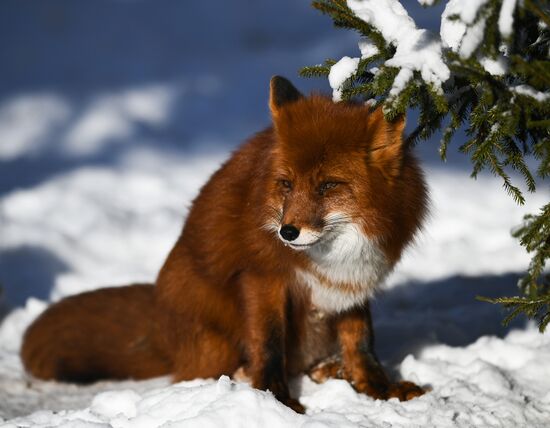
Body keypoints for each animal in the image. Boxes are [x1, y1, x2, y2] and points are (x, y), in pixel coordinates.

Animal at [21, 76, 430, 412]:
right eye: (286, 184)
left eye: (328, 185)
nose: (287, 233)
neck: (333, 254)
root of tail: (159, 318)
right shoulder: (262, 277)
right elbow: (268, 344)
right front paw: (277, 400)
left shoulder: (352, 285)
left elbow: (362, 343)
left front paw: (380, 389)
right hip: (214, 329)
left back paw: (328, 371)